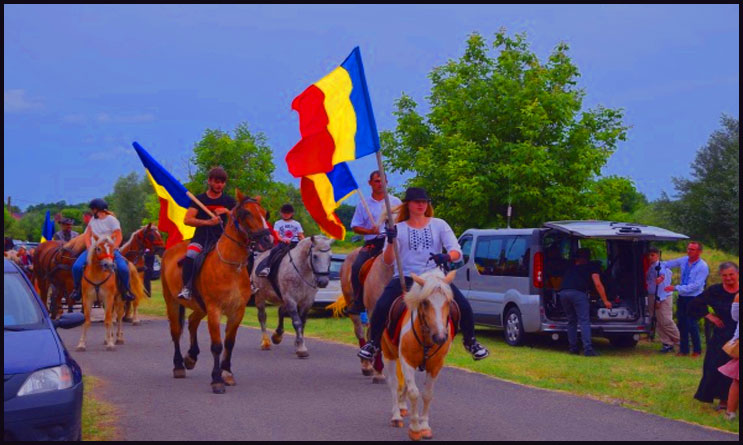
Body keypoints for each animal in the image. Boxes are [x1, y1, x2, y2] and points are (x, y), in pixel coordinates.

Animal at [160, 189, 274, 394]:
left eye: (265, 213)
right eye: (246, 213)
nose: (267, 240)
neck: (230, 267)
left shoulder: (237, 311)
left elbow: (229, 342)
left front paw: (227, 373)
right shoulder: (214, 309)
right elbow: (216, 345)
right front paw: (216, 380)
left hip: (199, 306)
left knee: (192, 322)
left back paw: (191, 357)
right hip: (171, 301)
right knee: (176, 331)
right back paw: (179, 365)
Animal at [384, 268, 460, 440]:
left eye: (448, 302)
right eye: (425, 302)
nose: (440, 337)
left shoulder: (436, 365)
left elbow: (427, 394)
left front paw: (424, 426)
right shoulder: (406, 361)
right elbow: (414, 393)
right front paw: (414, 428)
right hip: (388, 354)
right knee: (393, 383)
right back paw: (396, 416)